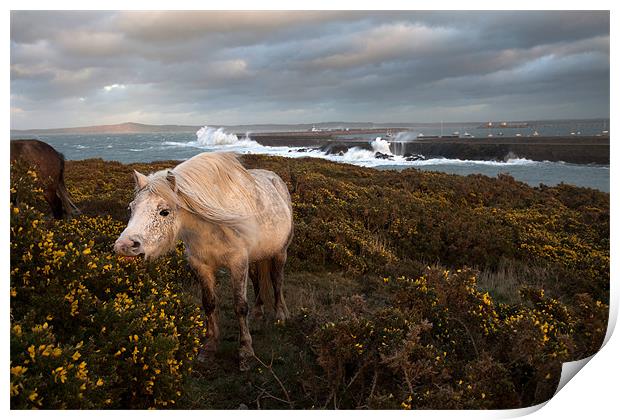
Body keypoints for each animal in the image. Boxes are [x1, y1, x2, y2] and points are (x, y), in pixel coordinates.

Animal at [114, 153, 294, 370]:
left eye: (164, 211)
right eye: (131, 208)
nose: (124, 246)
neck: (211, 225)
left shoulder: (238, 263)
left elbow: (240, 306)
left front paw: (246, 352)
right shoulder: (201, 265)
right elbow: (209, 303)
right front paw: (209, 348)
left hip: (280, 253)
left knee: (277, 280)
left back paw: (280, 315)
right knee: (257, 280)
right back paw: (258, 314)